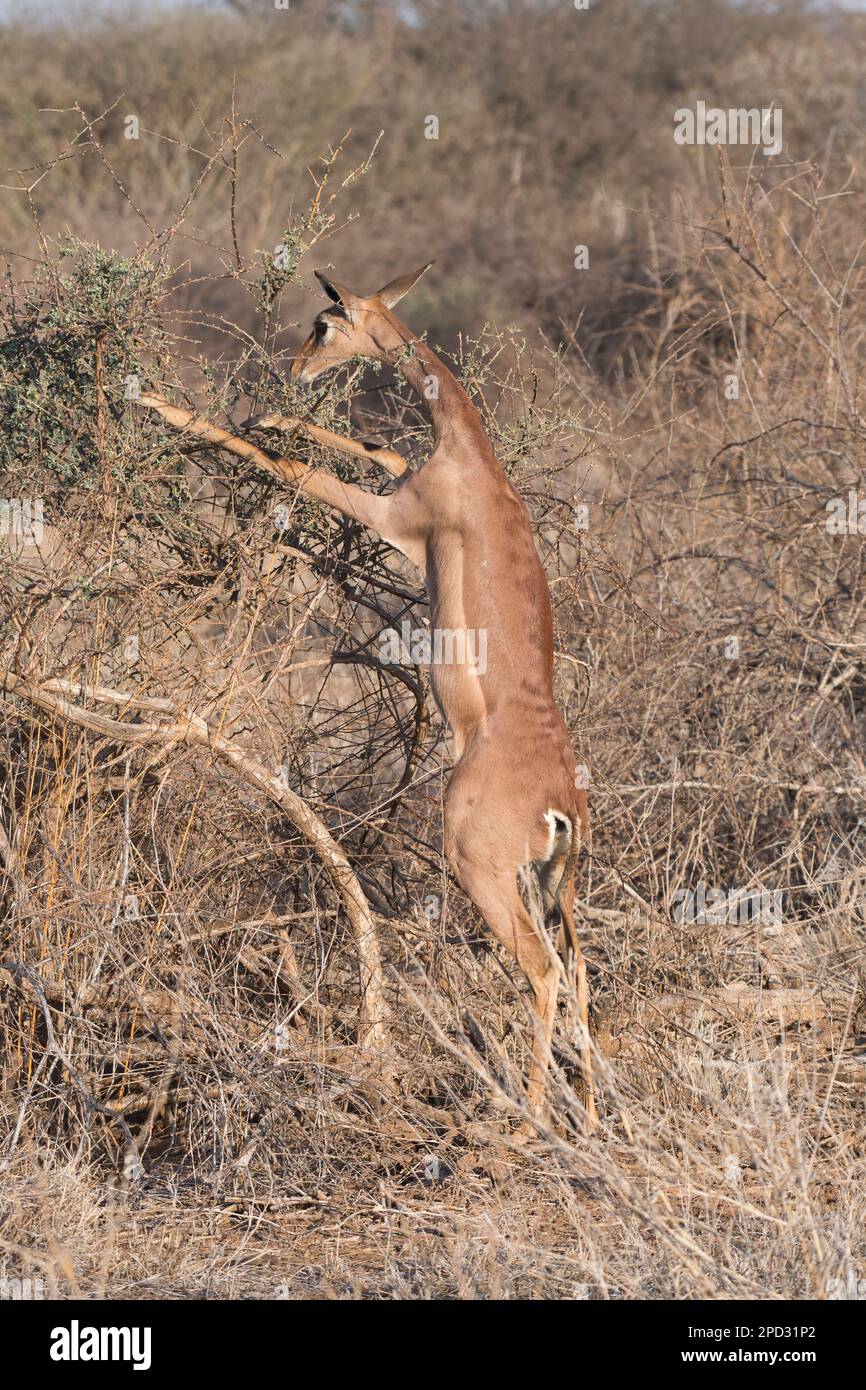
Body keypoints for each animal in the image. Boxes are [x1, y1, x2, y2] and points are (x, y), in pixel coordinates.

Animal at [280, 262, 600, 1128]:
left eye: (324, 324)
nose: (296, 369)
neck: (469, 457)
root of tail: (562, 803)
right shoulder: (399, 477)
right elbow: (375, 444)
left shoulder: (397, 516)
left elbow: (302, 469)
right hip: (554, 887)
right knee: (582, 975)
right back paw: (592, 1120)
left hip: (481, 871)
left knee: (544, 972)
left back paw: (531, 1120)